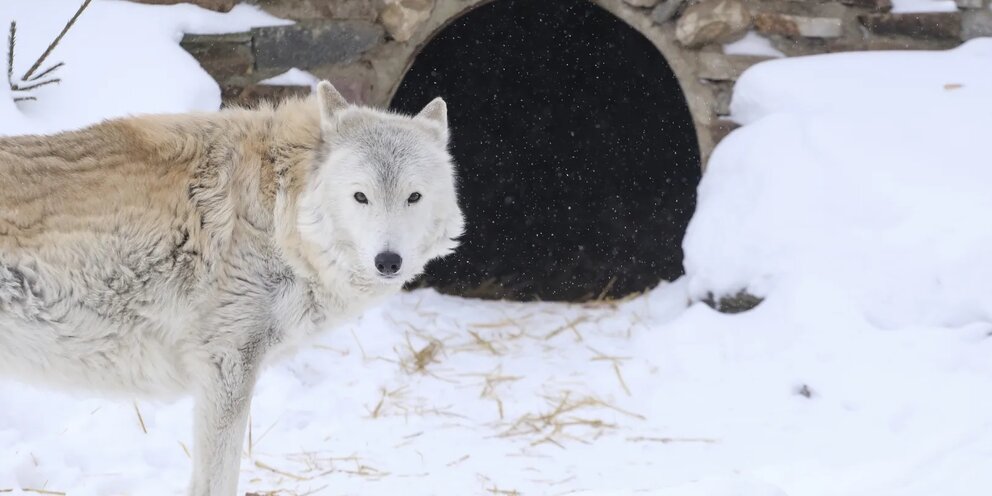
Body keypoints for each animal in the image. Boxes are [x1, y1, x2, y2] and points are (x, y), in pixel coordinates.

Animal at [0, 82, 462, 496]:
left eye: (414, 197)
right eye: (360, 196)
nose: (389, 261)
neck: (277, 211)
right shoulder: (226, 365)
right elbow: (216, 482)